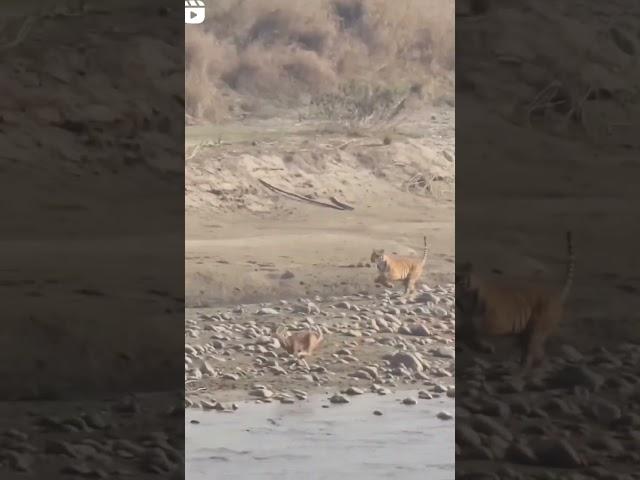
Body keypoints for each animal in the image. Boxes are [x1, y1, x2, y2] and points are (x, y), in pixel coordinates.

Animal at [456, 231, 576, 370]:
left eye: (459, 278)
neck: (465, 298)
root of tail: (555, 296)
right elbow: (467, 331)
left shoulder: (495, 323)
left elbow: (473, 332)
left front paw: (483, 346)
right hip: (526, 334)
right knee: (533, 352)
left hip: (537, 328)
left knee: (535, 352)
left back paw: (524, 369)